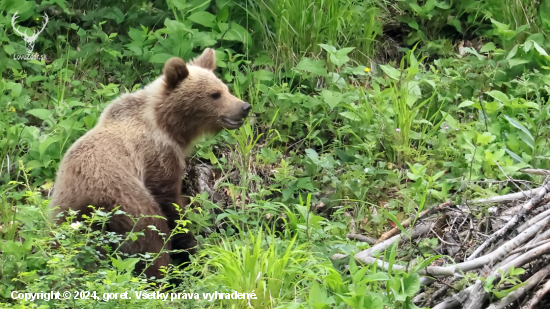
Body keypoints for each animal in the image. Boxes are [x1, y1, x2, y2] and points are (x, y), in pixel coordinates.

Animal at [49, 48, 252, 280]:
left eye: (226, 88)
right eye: (215, 94)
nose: (244, 107)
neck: (167, 124)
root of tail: (92, 205)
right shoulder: (158, 154)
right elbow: (170, 201)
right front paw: (189, 246)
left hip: (64, 212)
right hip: (129, 204)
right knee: (152, 242)